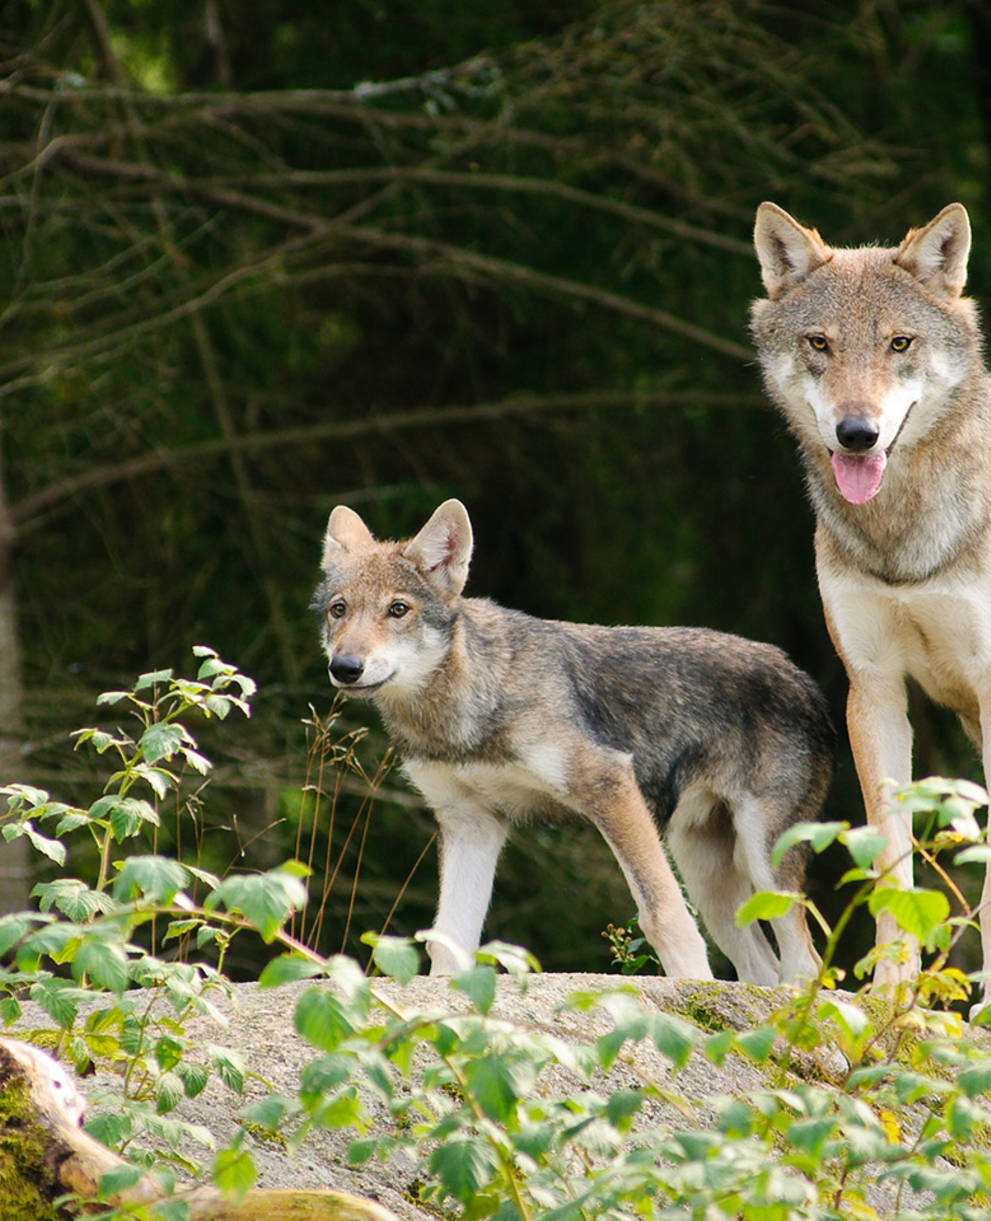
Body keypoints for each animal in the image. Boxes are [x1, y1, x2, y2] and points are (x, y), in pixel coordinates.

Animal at [313, 498, 832, 982]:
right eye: (340, 610)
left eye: (397, 610)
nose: (345, 667)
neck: (463, 715)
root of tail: (804, 679)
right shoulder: (470, 823)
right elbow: (449, 939)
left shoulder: (609, 784)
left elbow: (663, 917)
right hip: (708, 877)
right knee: (762, 969)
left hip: (762, 858)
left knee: (803, 961)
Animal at [751, 200, 991, 999]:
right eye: (820, 343)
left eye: (899, 343)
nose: (856, 433)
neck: (905, 543)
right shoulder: (874, 688)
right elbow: (890, 860)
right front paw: (890, 994)